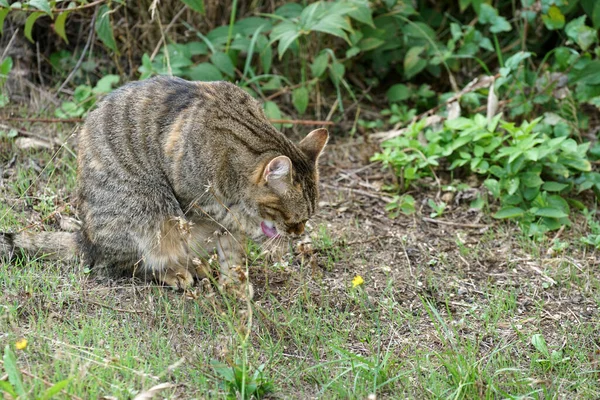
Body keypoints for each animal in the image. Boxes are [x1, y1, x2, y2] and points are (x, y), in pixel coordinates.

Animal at [0, 76, 328, 298]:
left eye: (307, 219)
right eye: (293, 219)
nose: (298, 234)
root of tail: (86, 238)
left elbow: (232, 250)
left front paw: (235, 284)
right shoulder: (194, 195)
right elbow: (230, 219)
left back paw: (198, 265)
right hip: (149, 212)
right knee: (133, 263)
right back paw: (175, 272)